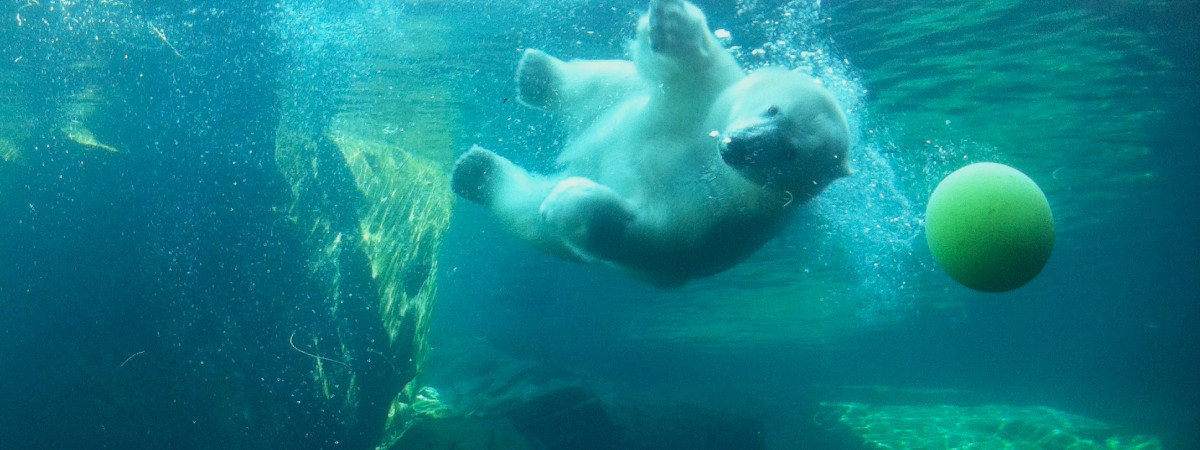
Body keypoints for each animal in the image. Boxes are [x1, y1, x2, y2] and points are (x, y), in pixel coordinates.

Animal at [451, 0, 854, 286]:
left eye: (790, 153)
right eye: (773, 108)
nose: (736, 147)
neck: (708, 158)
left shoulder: (719, 223)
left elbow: (642, 237)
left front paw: (567, 199)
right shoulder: (701, 100)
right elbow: (692, 64)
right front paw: (670, 19)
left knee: (524, 211)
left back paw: (476, 171)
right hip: (623, 95)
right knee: (602, 80)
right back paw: (537, 74)